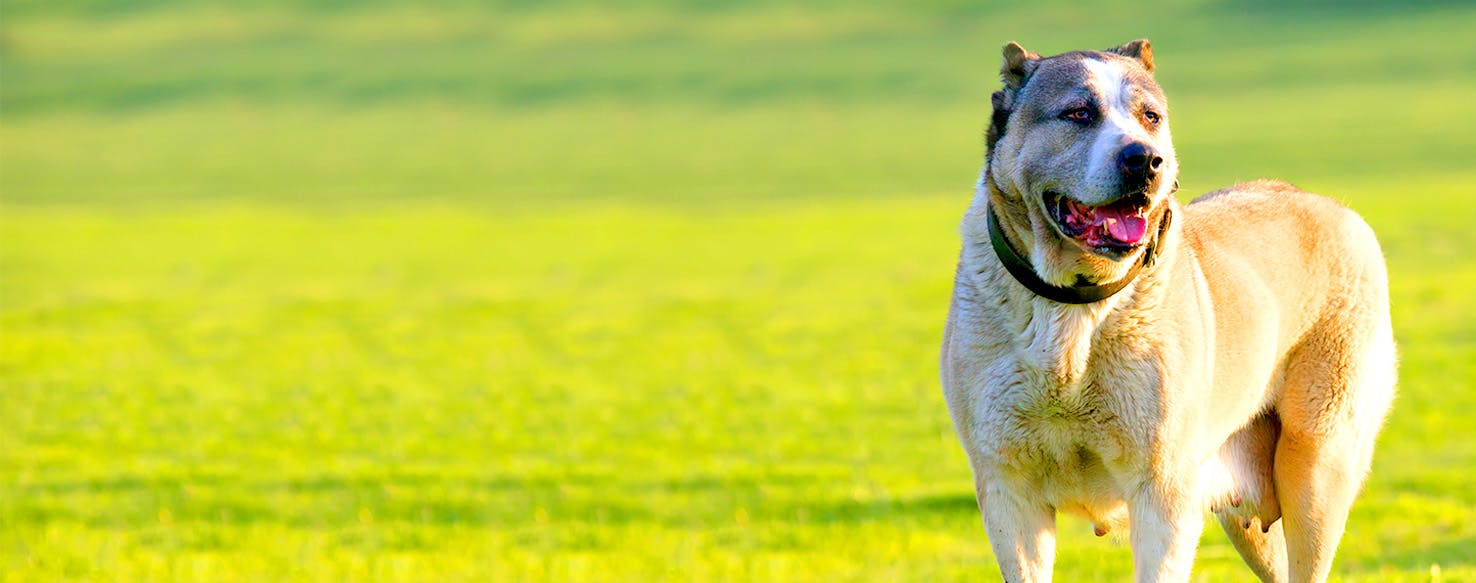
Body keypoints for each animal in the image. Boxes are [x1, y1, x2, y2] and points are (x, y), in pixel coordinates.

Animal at [944, 38, 1393, 581]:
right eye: (1078, 113)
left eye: (1151, 117)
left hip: (1316, 467)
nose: (1146, 159)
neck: (1073, 305)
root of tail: (1335, 208)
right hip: (1250, 516)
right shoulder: (1009, 492)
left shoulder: (1161, 490)